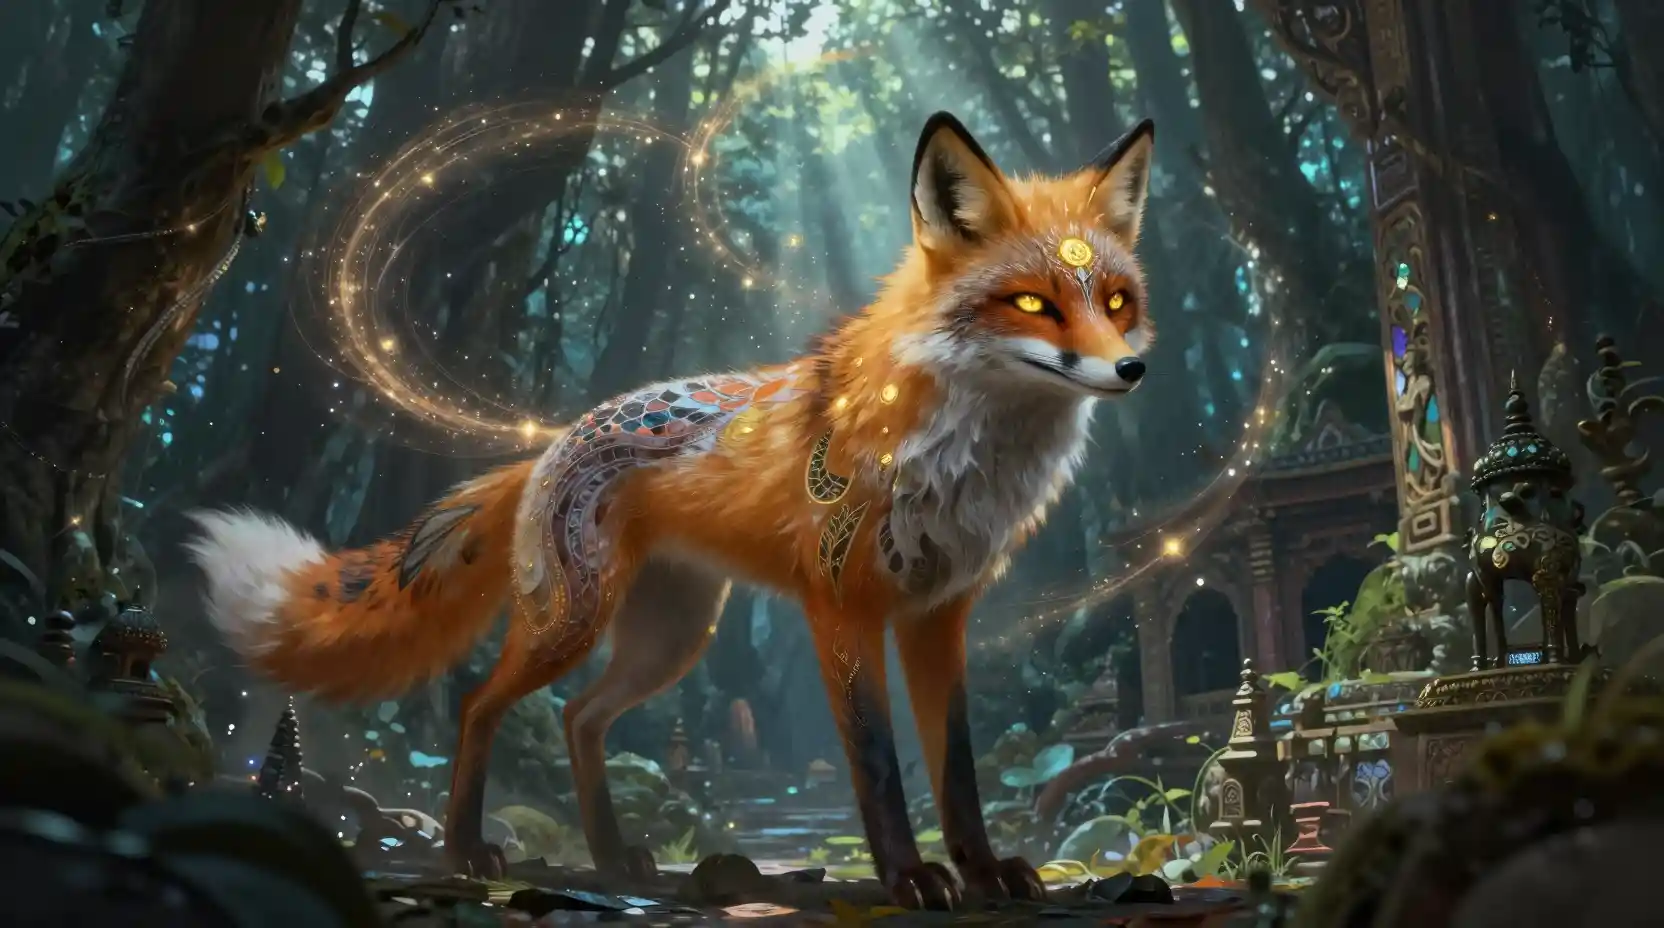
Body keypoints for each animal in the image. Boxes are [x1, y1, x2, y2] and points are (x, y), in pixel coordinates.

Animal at [186, 111, 1155, 910]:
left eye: (1116, 302)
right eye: (1030, 303)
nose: (1132, 370)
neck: (956, 454)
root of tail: (553, 443)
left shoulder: (938, 615)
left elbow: (956, 772)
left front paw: (984, 872)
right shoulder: (842, 608)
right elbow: (879, 767)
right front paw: (909, 878)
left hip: (670, 639)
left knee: (579, 717)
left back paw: (614, 857)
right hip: (573, 621)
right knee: (479, 706)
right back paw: (468, 850)